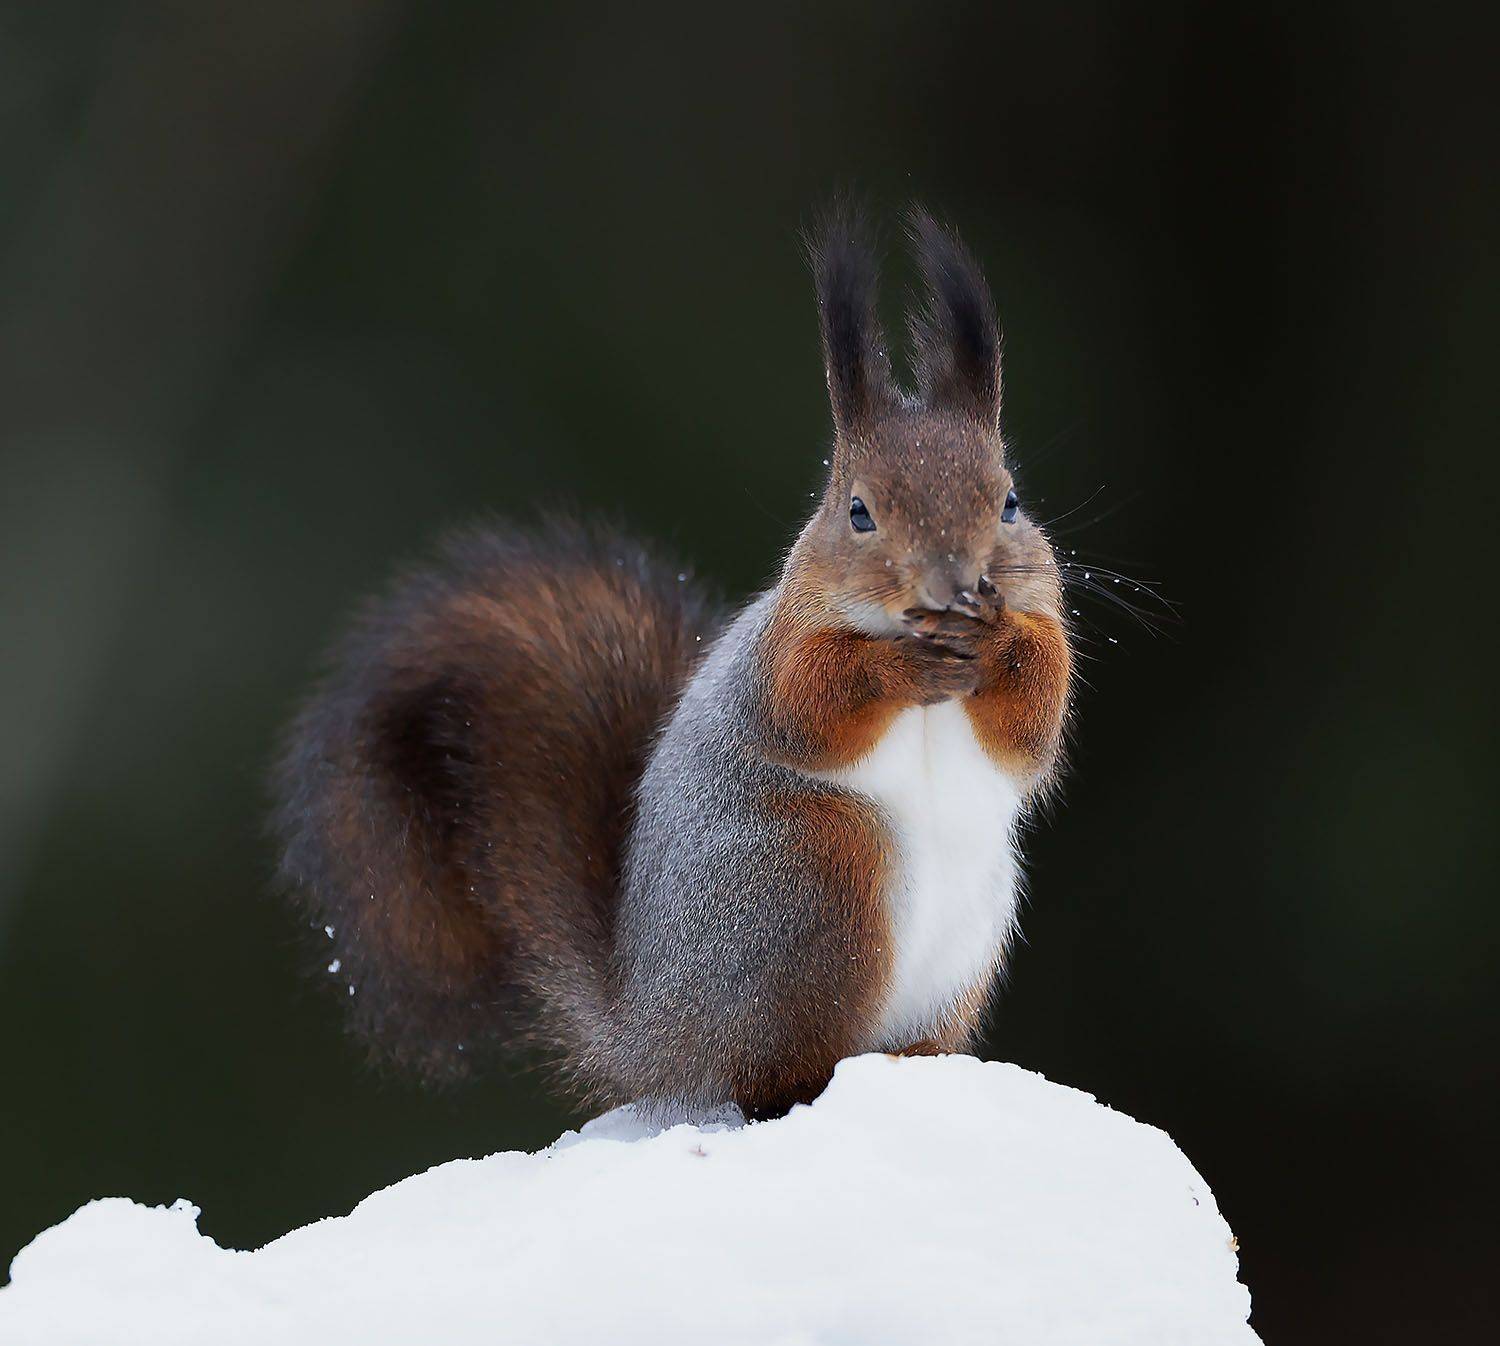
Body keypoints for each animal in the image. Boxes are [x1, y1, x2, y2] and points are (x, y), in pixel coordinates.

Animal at [273, 206, 1072, 1120]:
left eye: (1010, 501)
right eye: (858, 512)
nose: (956, 583)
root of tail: (652, 1034)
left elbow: (1034, 721)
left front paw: (1001, 644)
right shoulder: (777, 654)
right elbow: (811, 705)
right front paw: (900, 668)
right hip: (812, 879)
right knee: (762, 1072)